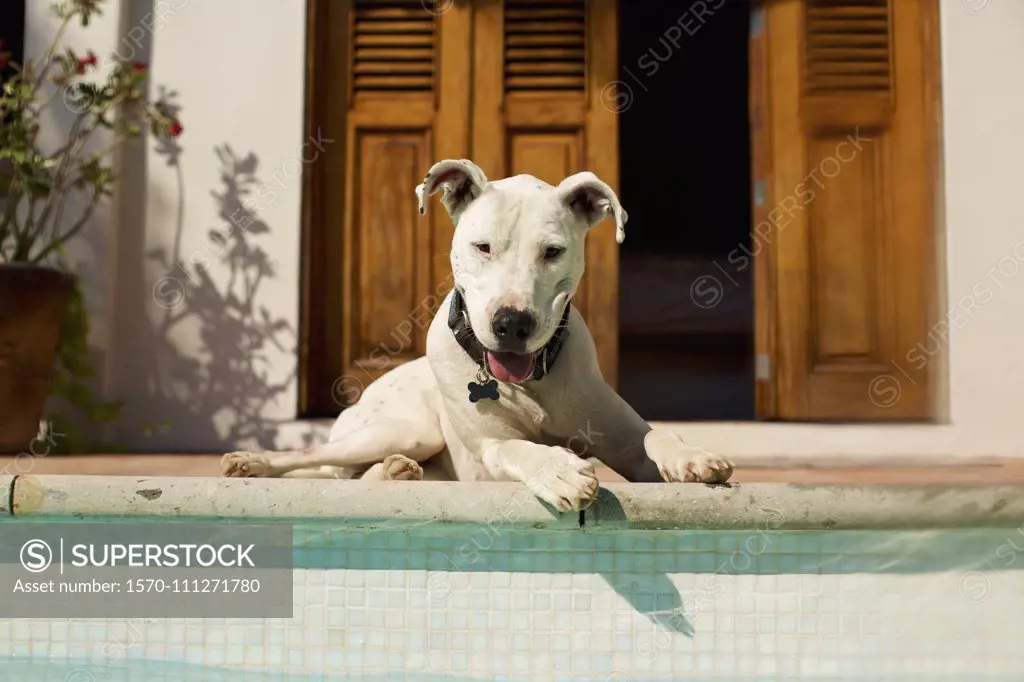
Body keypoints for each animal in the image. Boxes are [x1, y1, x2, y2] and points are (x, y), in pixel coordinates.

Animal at [224, 159, 737, 509]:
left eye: (553, 251)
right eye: (483, 247)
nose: (512, 323)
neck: (531, 382)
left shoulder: (622, 436)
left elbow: (653, 437)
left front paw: (693, 457)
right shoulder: (491, 447)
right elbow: (518, 446)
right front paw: (558, 470)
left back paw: (395, 474)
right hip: (404, 429)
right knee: (313, 458)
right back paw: (250, 461)